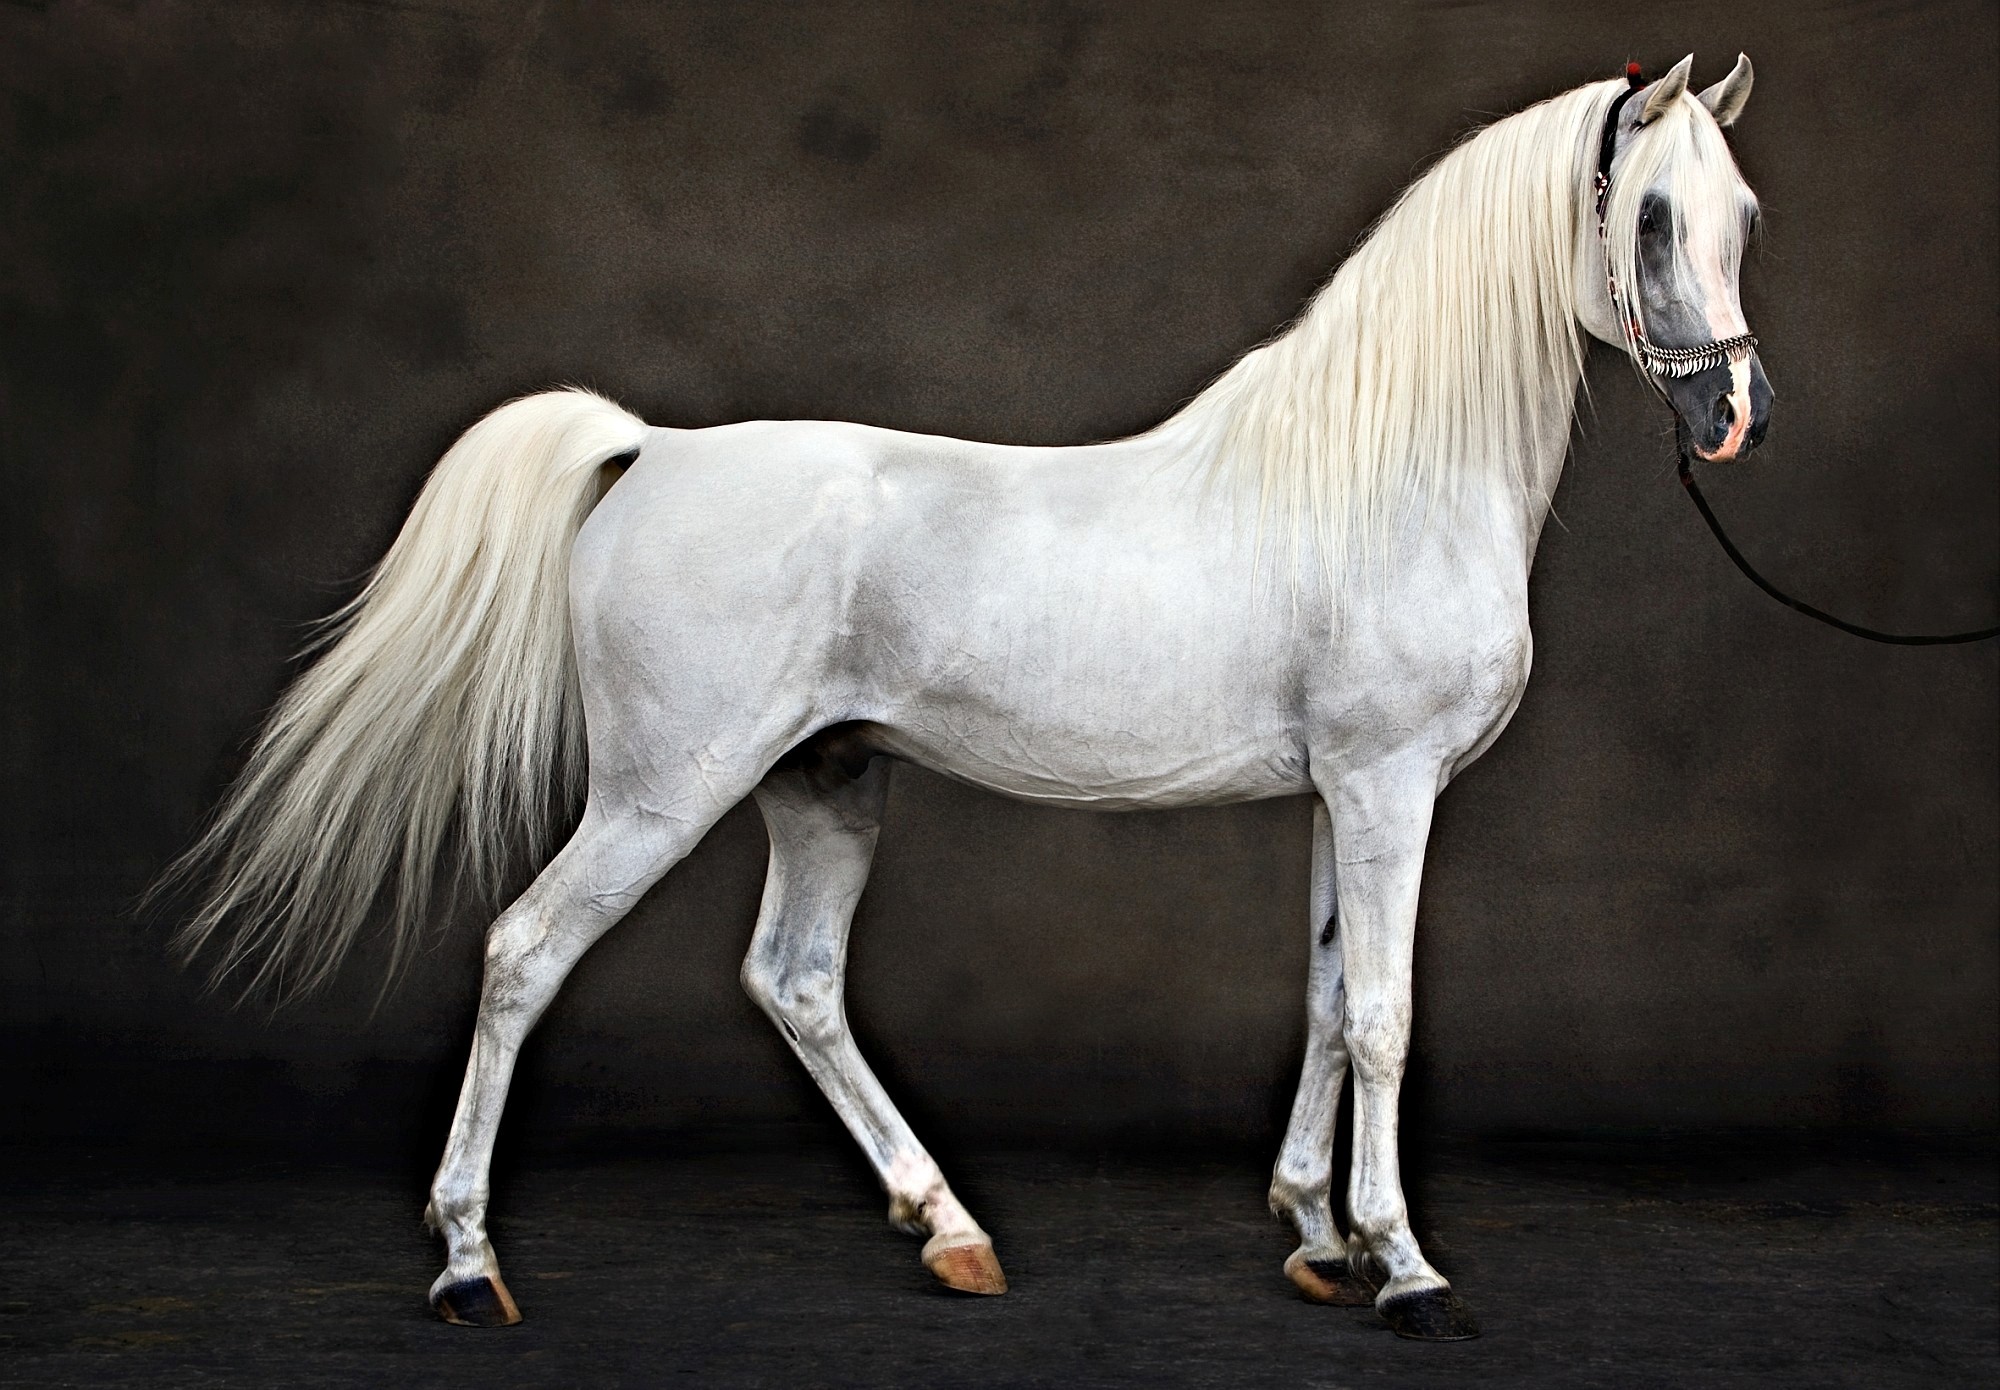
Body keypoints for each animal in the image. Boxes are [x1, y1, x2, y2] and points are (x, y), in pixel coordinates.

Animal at [162, 54, 1769, 1341]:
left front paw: (1315, 1236)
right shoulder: (1385, 786)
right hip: (659, 795)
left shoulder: (1340, 793)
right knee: (522, 953)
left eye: (1744, 216)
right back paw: (467, 1263)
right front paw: (1404, 1266)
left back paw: (950, 1229)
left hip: (823, 784)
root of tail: (652, 449)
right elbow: (1381, 1012)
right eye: (1649, 221)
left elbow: (1321, 998)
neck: (1379, 475)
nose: (1731, 415)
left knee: (795, 980)